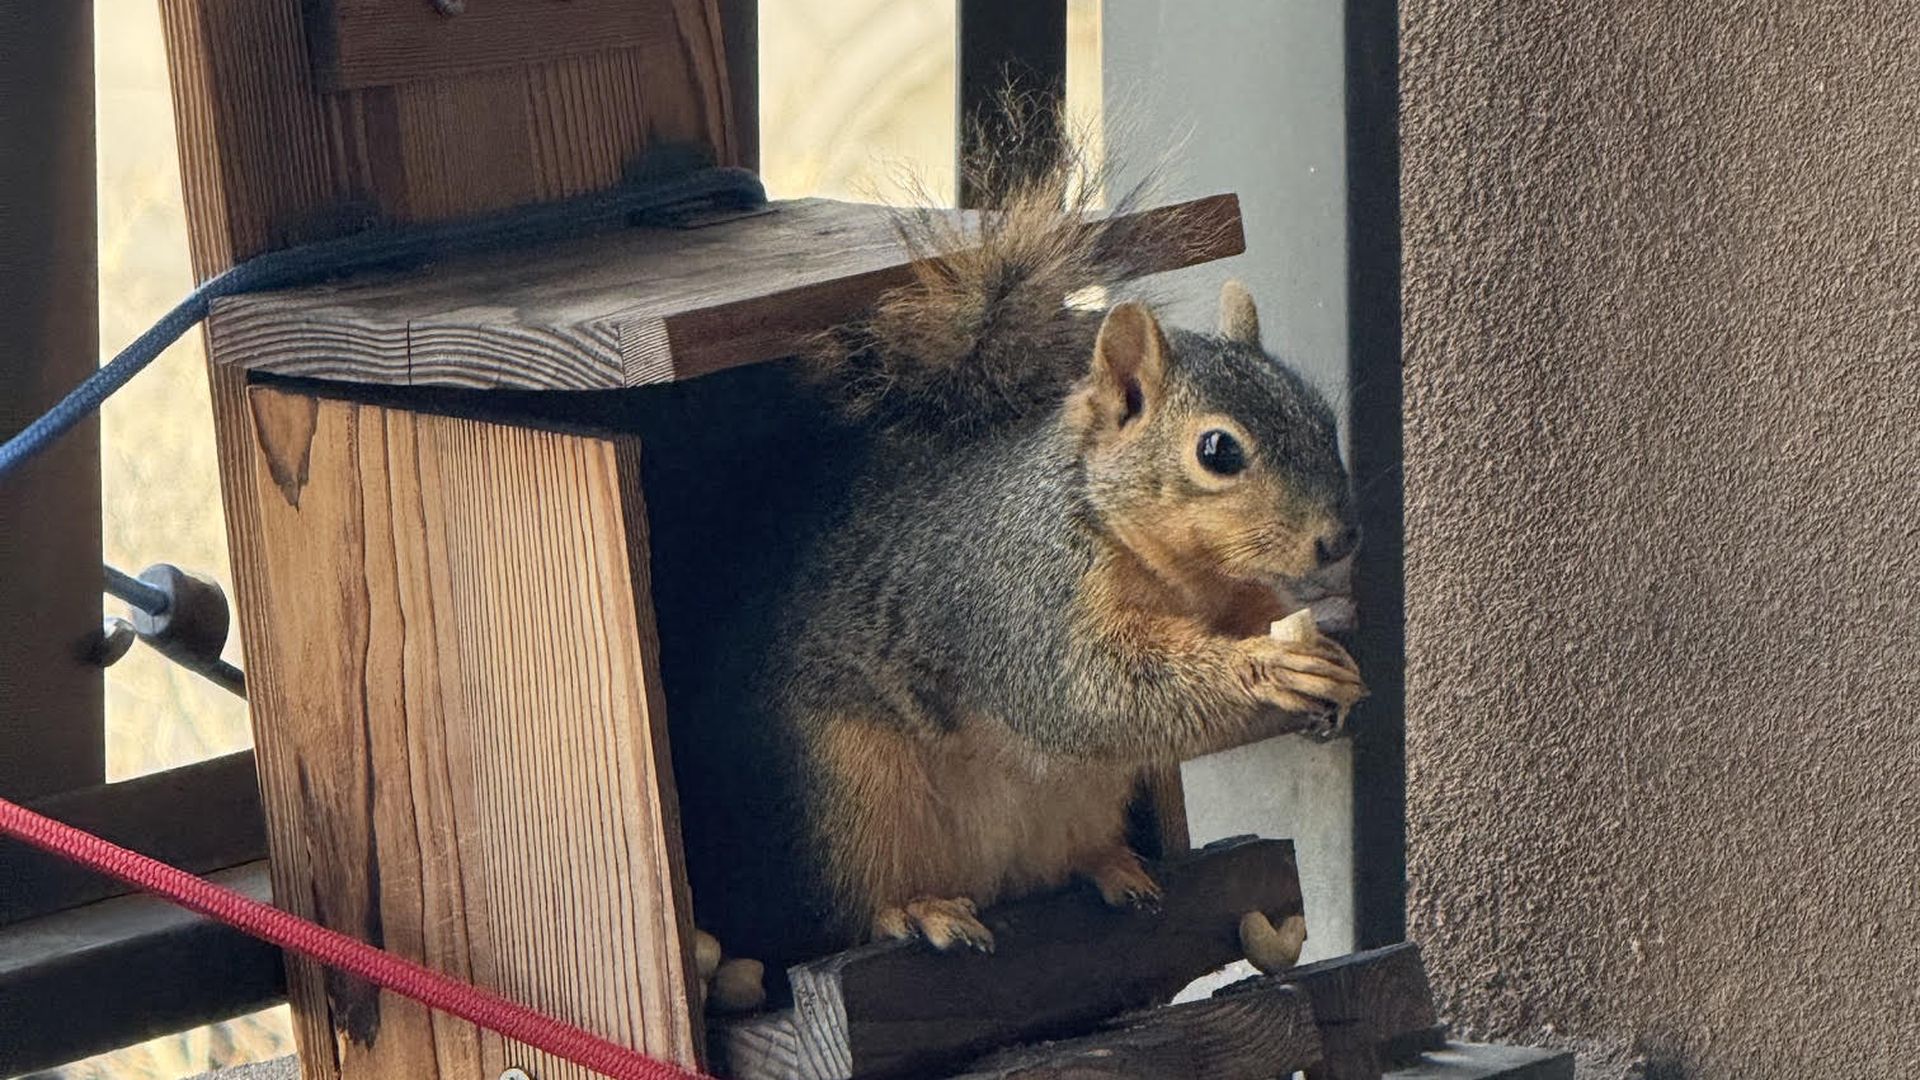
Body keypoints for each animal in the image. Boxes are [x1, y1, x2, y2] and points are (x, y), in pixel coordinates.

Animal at [674, 130, 1367, 985]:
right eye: (1217, 451)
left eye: (1322, 416)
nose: (1340, 538)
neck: (1170, 573)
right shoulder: (1024, 600)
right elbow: (1090, 690)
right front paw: (1270, 668)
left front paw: (1337, 669)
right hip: (855, 797)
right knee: (865, 899)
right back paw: (920, 909)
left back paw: (1113, 868)